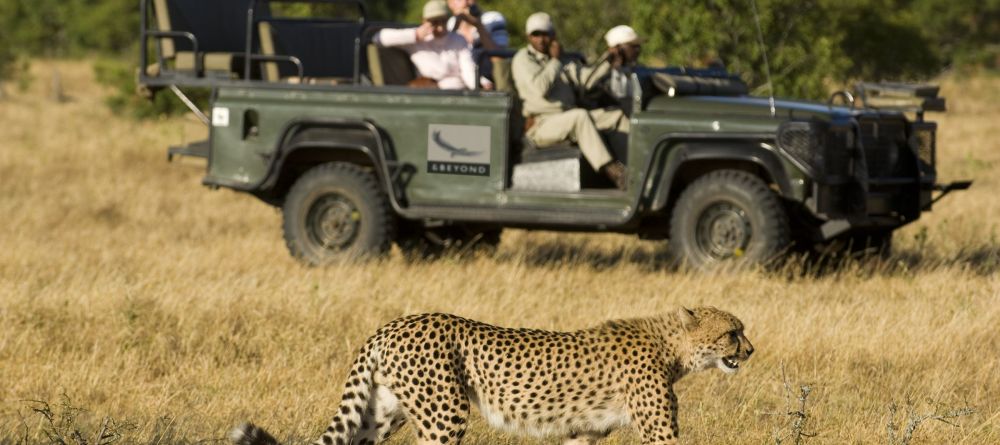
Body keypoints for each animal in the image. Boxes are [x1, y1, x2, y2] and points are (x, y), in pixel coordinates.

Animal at [230, 306, 752, 444]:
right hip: (444, 412)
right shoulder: (660, 433)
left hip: (382, 413)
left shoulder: (582, 433)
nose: (751, 349)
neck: (672, 346)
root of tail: (394, 323)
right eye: (733, 332)